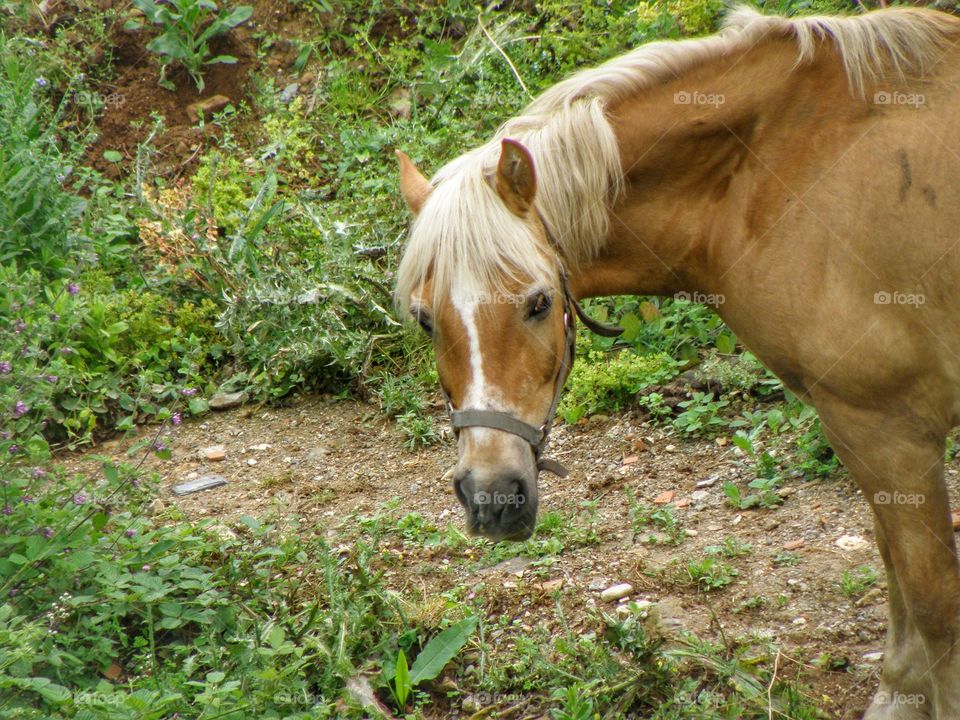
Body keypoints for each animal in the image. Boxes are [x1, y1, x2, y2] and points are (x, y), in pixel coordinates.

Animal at [392, 7, 960, 720]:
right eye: (424, 318)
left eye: (539, 302)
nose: (492, 499)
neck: (780, 170)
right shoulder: (869, 433)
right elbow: (898, 575)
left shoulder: (888, 427)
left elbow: (934, 600)